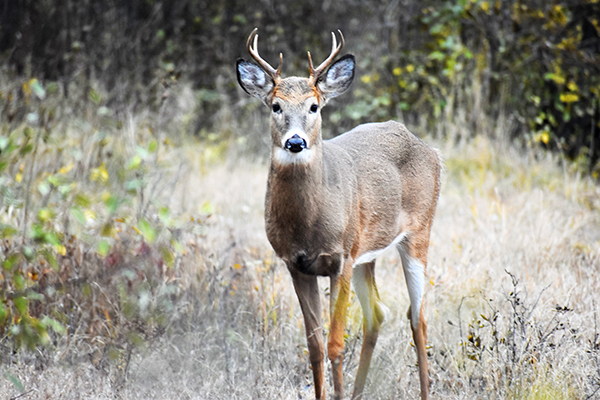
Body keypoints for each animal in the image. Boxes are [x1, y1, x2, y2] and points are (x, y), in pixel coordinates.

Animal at [238, 28, 440, 400]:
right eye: (276, 106)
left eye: (314, 106)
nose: (296, 142)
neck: (308, 224)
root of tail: (429, 149)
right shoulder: (296, 264)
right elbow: (315, 346)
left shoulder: (340, 258)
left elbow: (335, 344)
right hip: (366, 252)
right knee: (377, 313)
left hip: (419, 231)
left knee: (417, 317)